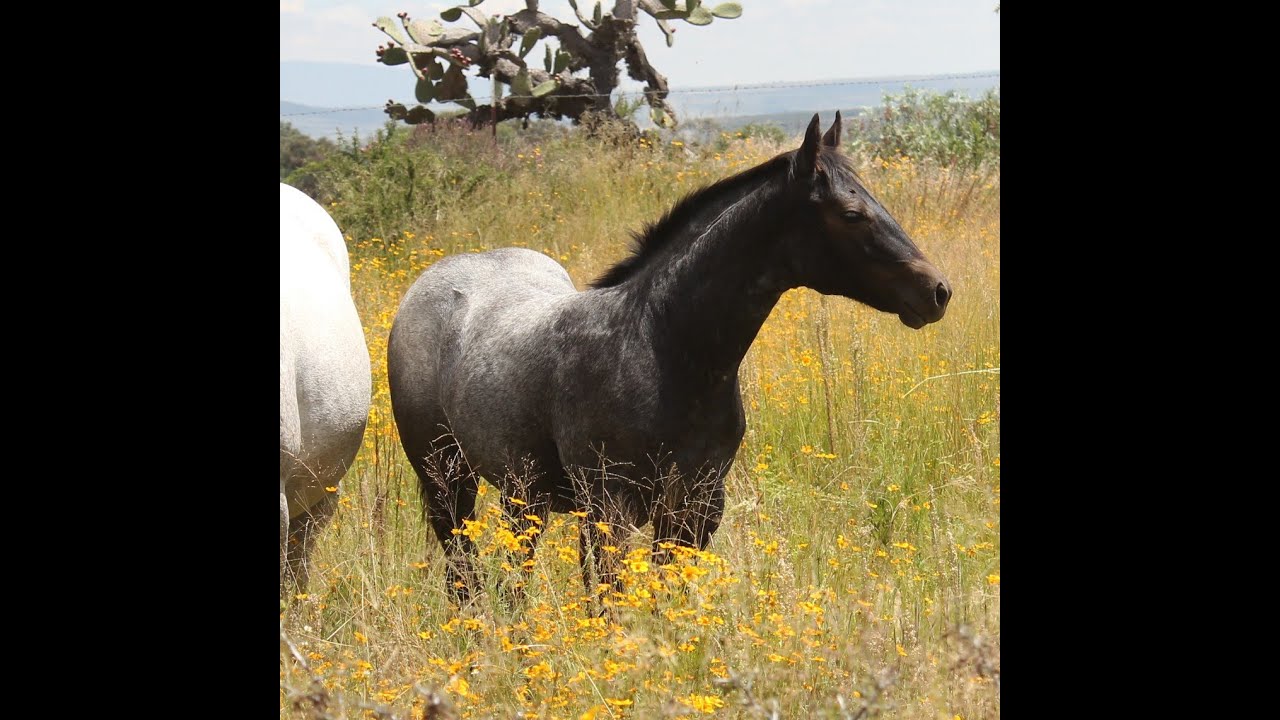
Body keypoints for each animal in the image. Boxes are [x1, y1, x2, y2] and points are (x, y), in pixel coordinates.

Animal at [387, 113, 951, 606]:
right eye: (851, 214)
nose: (937, 291)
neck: (663, 348)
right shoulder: (608, 510)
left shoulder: (696, 508)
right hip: (447, 481)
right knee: (464, 572)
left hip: (523, 495)